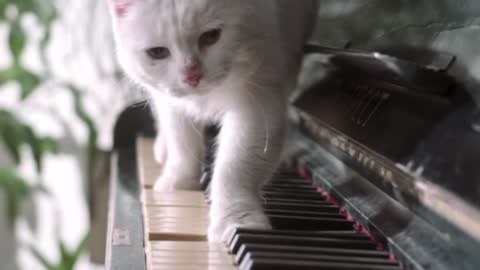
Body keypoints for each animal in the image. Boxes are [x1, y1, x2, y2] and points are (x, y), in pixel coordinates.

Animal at [109, 0, 318, 240]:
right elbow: (181, 144)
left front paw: (237, 223)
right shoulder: (172, 104)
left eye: (211, 36)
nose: (192, 76)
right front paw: (179, 182)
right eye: (157, 53)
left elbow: (234, 168)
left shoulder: (258, 104)